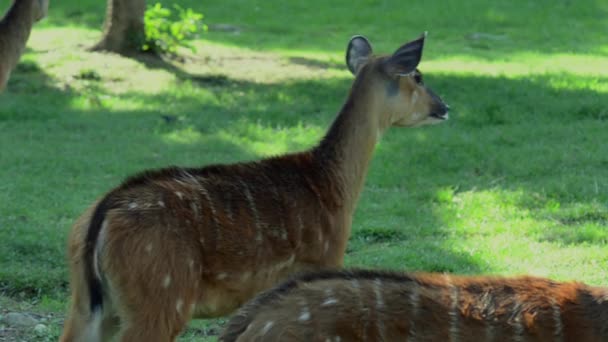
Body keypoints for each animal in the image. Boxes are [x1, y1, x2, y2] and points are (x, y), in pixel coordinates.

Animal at [59, 32, 448, 342]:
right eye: (418, 76)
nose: (444, 107)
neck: (334, 188)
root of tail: (100, 219)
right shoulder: (324, 258)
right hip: (160, 296)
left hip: (86, 303)